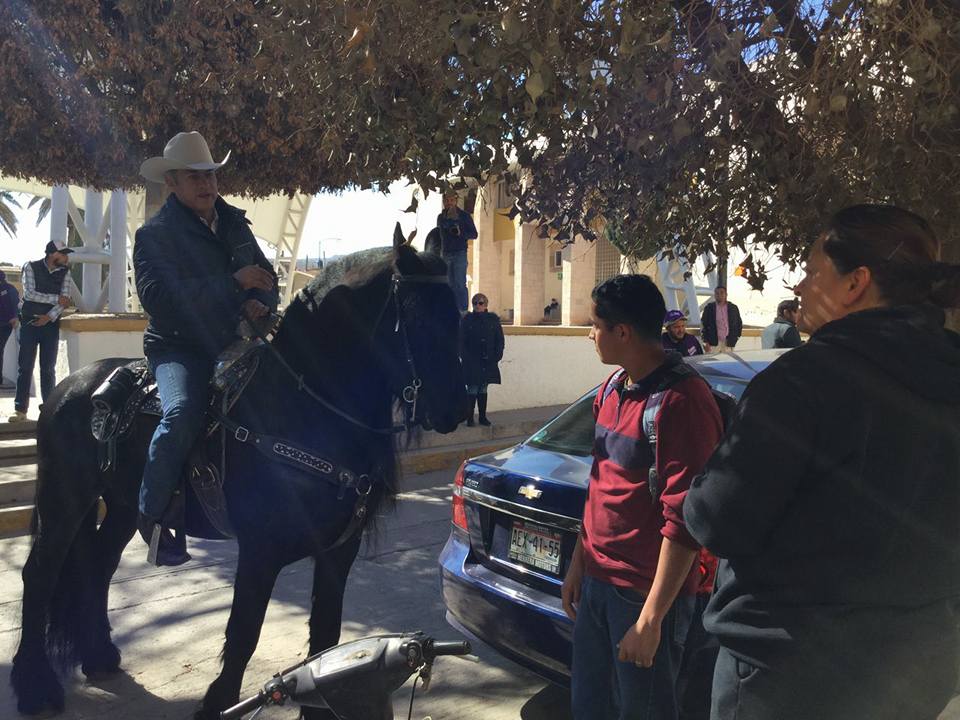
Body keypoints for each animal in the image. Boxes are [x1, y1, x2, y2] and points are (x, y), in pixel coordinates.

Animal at [9, 232, 466, 720]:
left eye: (455, 313)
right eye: (418, 314)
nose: (456, 408)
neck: (303, 409)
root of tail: (69, 385)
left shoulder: (337, 552)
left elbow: (325, 639)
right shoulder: (260, 551)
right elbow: (244, 633)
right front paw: (216, 702)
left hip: (124, 506)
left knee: (98, 564)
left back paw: (98, 656)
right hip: (64, 498)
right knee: (38, 575)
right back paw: (34, 686)